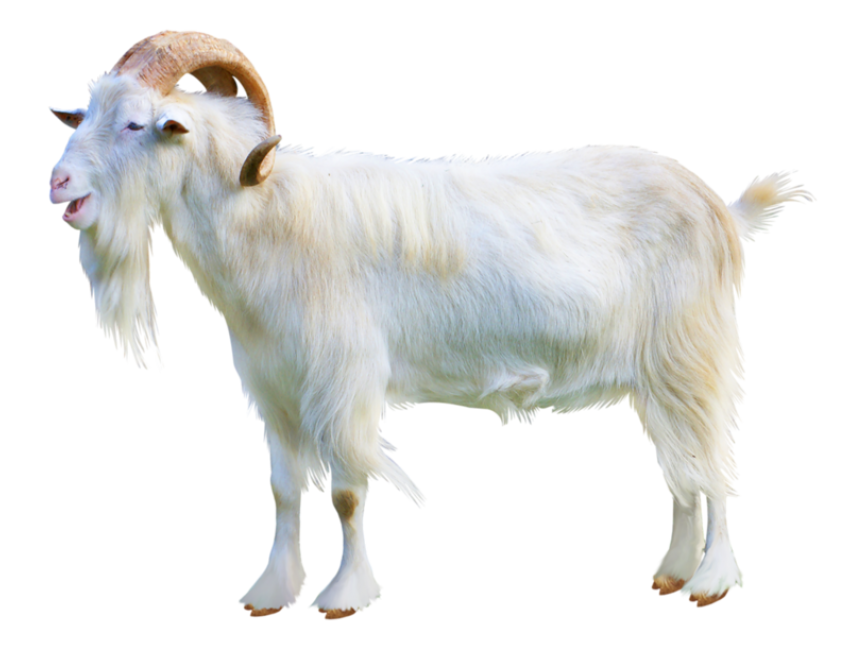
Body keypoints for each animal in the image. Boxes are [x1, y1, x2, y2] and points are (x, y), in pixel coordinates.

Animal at [47, 29, 817, 619]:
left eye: (137, 124)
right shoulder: (276, 389)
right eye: (84, 115)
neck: (267, 212)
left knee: (713, 466)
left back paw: (710, 581)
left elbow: (349, 491)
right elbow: (284, 490)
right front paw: (271, 591)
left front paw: (344, 595)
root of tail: (722, 210)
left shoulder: (343, 381)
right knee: (681, 470)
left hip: (695, 355)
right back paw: (672, 571)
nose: (58, 185)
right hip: (655, 376)